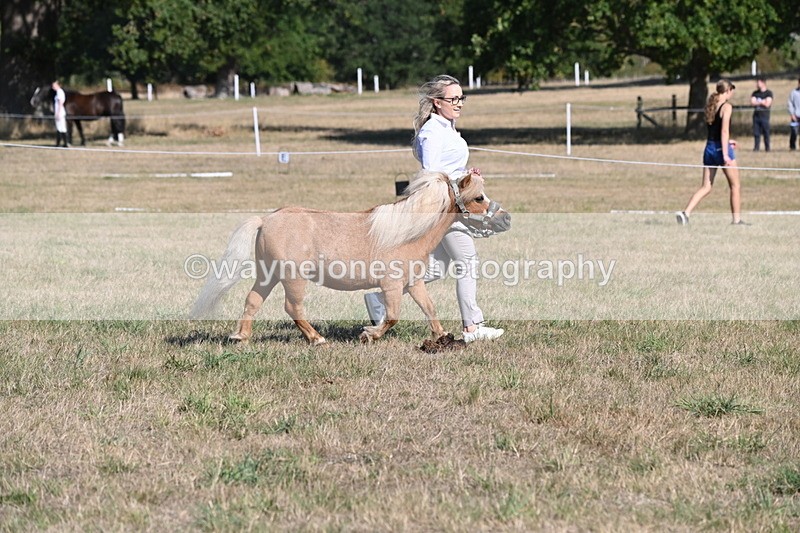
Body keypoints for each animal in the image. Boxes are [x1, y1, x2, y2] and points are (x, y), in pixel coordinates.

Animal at [190, 170, 508, 345]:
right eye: (479, 197)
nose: (505, 219)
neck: (406, 232)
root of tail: (265, 220)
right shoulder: (392, 286)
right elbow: (393, 316)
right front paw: (369, 334)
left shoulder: (413, 282)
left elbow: (430, 309)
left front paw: (442, 338)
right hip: (293, 279)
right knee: (293, 308)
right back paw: (317, 339)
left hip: (268, 275)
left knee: (252, 300)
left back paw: (240, 337)